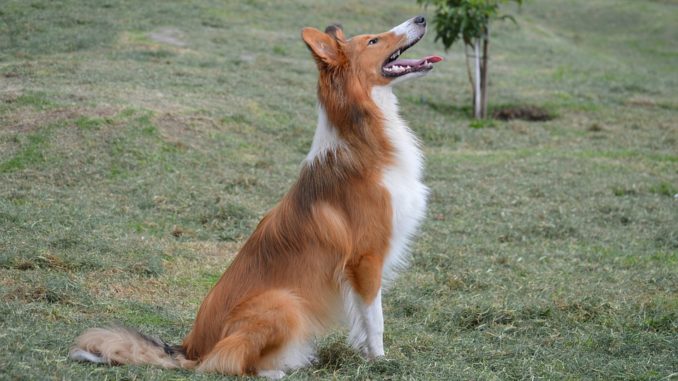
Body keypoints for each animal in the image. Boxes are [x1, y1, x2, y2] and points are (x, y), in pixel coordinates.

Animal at [69, 15, 440, 378]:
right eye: (373, 41)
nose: (422, 17)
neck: (363, 136)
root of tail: (190, 349)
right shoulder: (365, 259)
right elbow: (375, 319)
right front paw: (380, 361)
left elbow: (363, 321)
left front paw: (365, 355)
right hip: (284, 302)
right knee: (227, 362)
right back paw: (277, 369)